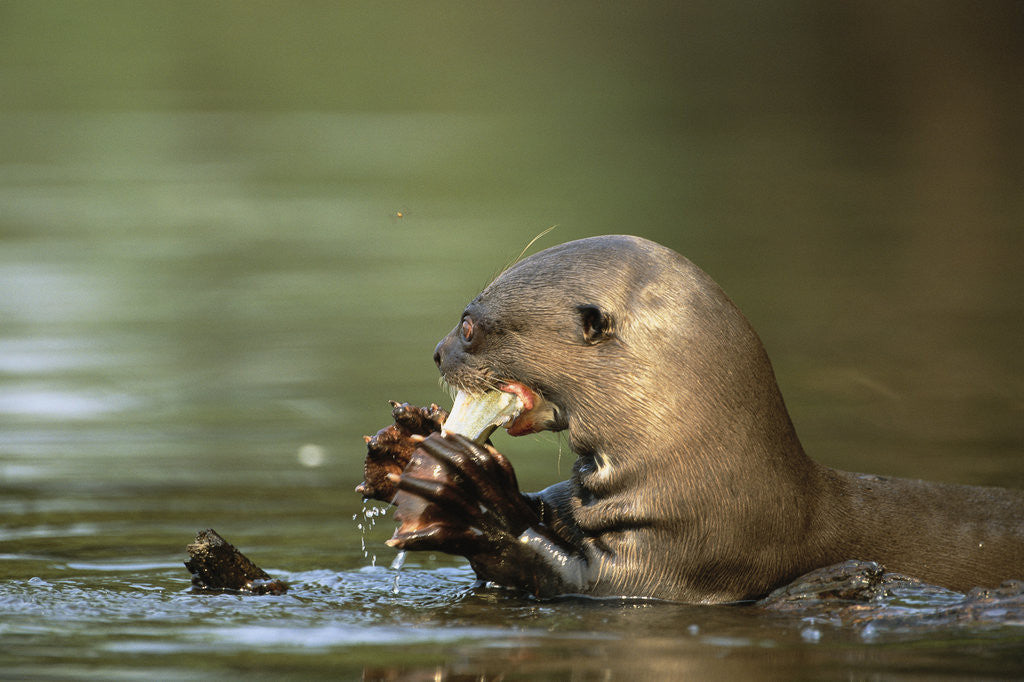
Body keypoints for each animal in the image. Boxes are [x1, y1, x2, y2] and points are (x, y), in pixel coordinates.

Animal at [368, 235, 1024, 603]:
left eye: (469, 326)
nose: (437, 352)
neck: (703, 473)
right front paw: (400, 452)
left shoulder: (685, 558)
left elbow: (573, 579)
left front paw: (468, 496)